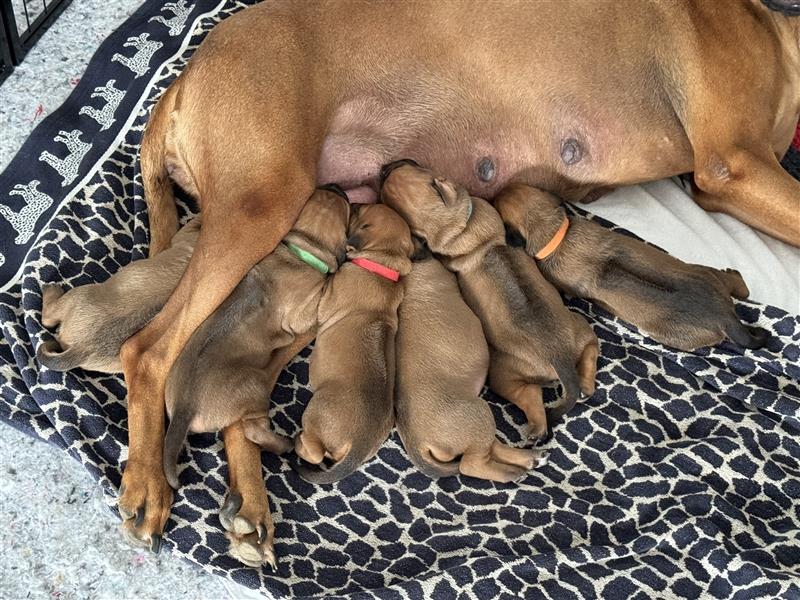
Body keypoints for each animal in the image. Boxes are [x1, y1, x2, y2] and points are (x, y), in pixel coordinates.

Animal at [378, 159, 596, 440]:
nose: (382, 169)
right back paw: (581, 389)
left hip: (510, 369)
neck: (461, 226)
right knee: (586, 352)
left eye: (409, 168)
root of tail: (561, 358)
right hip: (568, 334)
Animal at [396, 253, 548, 482]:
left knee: (492, 448)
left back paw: (531, 458)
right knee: (471, 465)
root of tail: (419, 443)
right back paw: (512, 471)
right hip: (479, 415)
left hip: (477, 426)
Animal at [494, 183, 768, 352]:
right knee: (738, 285)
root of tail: (725, 316)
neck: (555, 234)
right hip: (706, 272)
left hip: (673, 334)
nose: (496, 191)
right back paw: (734, 275)